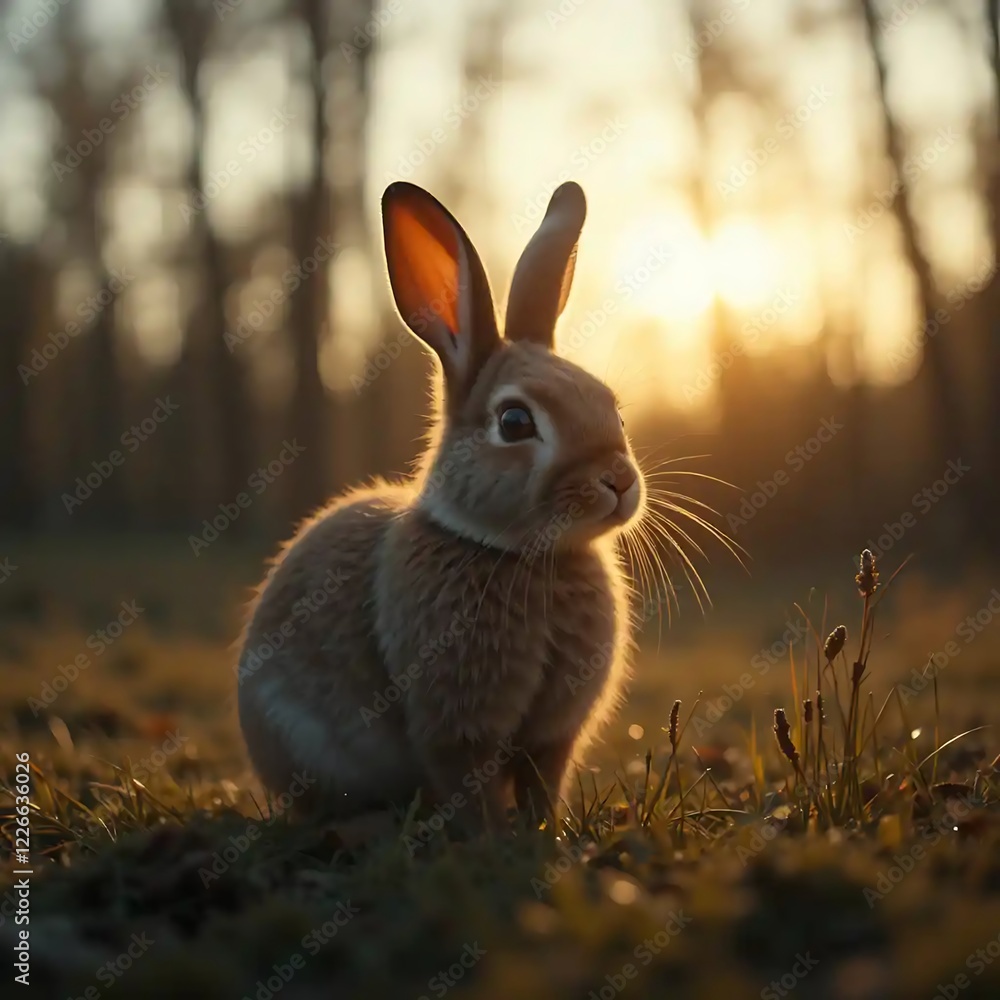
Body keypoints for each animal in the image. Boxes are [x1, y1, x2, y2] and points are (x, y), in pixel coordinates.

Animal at [237, 179, 645, 830]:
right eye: (514, 422)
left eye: (615, 410)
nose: (619, 482)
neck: (524, 557)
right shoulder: (456, 727)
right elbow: (467, 784)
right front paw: (490, 839)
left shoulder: (552, 736)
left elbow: (543, 782)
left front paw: (544, 834)